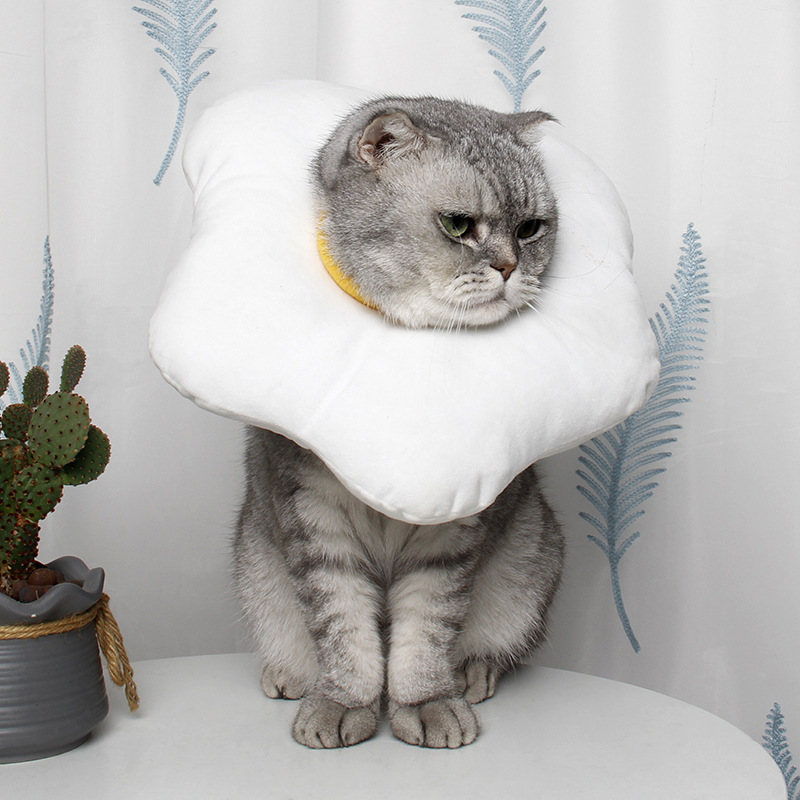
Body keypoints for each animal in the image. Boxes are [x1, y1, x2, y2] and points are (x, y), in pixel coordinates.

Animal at [233, 96, 564, 749]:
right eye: (459, 225)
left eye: (530, 229)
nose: (511, 268)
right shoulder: (314, 521)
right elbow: (343, 629)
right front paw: (343, 704)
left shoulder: (453, 531)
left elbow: (425, 632)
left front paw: (427, 702)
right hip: (254, 559)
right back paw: (289, 675)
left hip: (531, 554)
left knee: (493, 640)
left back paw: (473, 672)